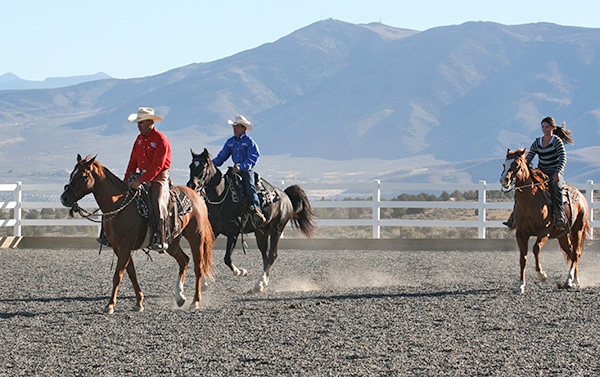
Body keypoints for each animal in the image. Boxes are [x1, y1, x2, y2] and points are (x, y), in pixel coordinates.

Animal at [61, 154, 214, 312]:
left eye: (84, 176)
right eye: (72, 174)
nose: (64, 198)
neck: (119, 204)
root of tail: (197, 196)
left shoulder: (125, 246)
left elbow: (118, 274)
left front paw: (110, 305)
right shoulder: (119, 248)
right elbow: (131, 273)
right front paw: (139, 302)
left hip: (196, 237)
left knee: (198, 266)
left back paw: (195, 301)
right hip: (171, 242)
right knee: (184, 260)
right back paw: (179, 297)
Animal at [188, 148, 318, 290]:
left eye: (203, 167)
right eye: (191, 166)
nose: (191, 185)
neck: (222, 196)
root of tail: (285, 196)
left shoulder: (233, 233)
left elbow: (227, 258)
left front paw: (240, 271)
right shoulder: (214, 231)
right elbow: (204, 255)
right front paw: (204, 282)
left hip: (277, 229)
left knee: (272, 255)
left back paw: (259, 283)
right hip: (261, 233)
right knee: (265, 255)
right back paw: (263, 282)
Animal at [500, 148, 588, 292]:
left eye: (516, 164)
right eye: (504, 164)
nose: (504, 180)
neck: (529, 202)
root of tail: (581, 196)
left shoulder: (544, 231)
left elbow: (536, 248)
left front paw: (542, 275)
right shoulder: (521, 234)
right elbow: (522, 258)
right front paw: (520, 285)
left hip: (578, 229)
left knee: (576, 253)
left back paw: (570, 280)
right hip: (562, 236)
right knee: (570, 252)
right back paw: (574, 280)